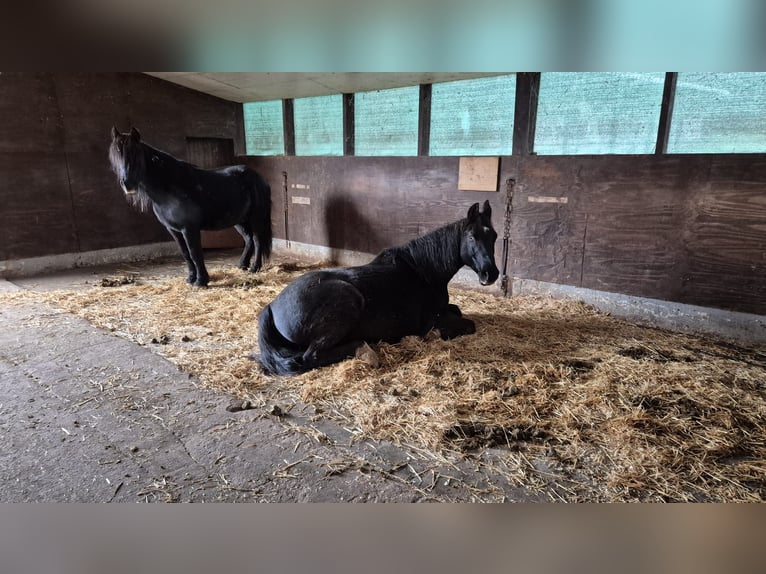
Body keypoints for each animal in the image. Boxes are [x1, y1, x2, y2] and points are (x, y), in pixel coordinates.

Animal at [108, 127, 272, 287]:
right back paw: (242, 265)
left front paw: (201, 281)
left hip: (255, 219)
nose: (127, 184)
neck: (170, 189)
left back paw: (255, 268)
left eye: (135, 153)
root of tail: (258, 177)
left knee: (257, 240)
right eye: (116, 156)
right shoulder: (174, 230)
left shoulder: (189, 228)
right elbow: (186, 254)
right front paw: (191, 278)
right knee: (249, 240)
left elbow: (195, 253)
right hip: (239, 220)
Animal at [255, 201, 499, 376]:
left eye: (494, 236)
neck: (424, 271)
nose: (491, 274)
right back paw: (364, 350)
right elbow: (467, 324)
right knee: (311, 356)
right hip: (347, 302)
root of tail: (272, 307)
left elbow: (457, 308)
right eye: (472, 236)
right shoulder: (432, 323)